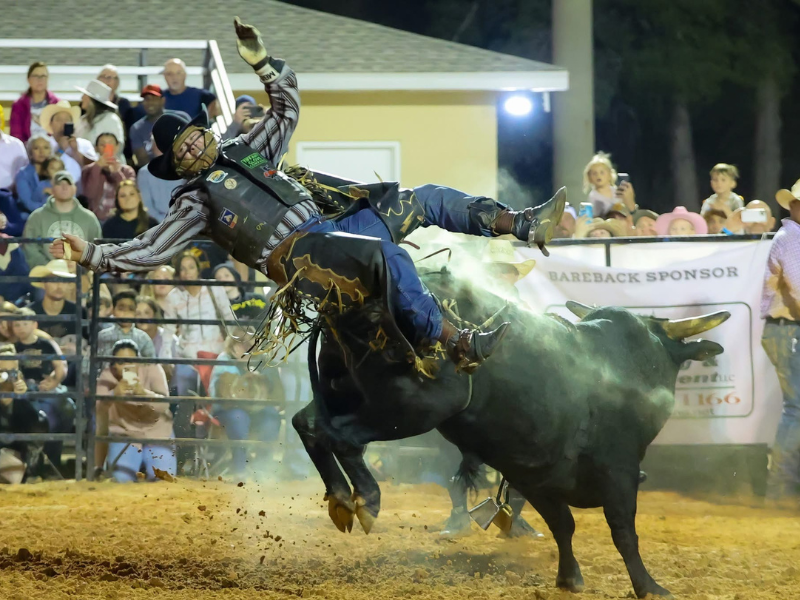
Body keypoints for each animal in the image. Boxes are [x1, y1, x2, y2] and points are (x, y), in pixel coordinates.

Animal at [296, 270, 732, 596]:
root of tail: (348, 302)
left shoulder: (535, 474)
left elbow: (562, 525)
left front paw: (569, 578)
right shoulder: (619, 470)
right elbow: (623, 531)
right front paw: (650, 587)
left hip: (342, 391)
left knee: (310, 426)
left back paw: (342, 498)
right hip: (407, 406)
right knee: (341, 437)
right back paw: (367, 499)